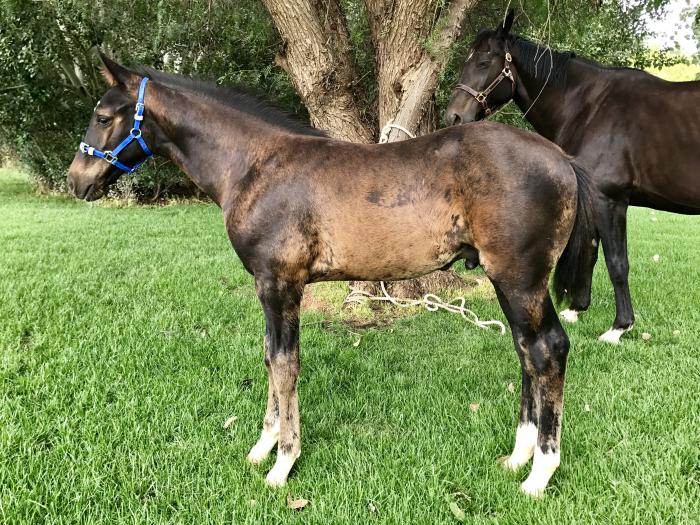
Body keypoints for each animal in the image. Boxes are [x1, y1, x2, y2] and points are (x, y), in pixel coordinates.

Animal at [67, 53, 596, 496]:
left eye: (103, 116)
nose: (75, 180)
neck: (253, 165)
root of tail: (564, 160)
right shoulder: (268, 287)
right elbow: (269, 358)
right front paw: (261, 447)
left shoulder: (279, 283)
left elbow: (285, 363)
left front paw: (282, 464)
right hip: (509, 280)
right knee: (526, 349)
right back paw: (518, 456)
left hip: (520, 277)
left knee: (548, 349)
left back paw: (539, 474)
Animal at [445, 10, 700, 344]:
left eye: (484, 63)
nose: (454, 116)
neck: (592, 108)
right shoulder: (593, 200)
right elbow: (589, 254)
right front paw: (577, 309)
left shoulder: (610, 200)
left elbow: (616, 263)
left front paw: (619, 327)